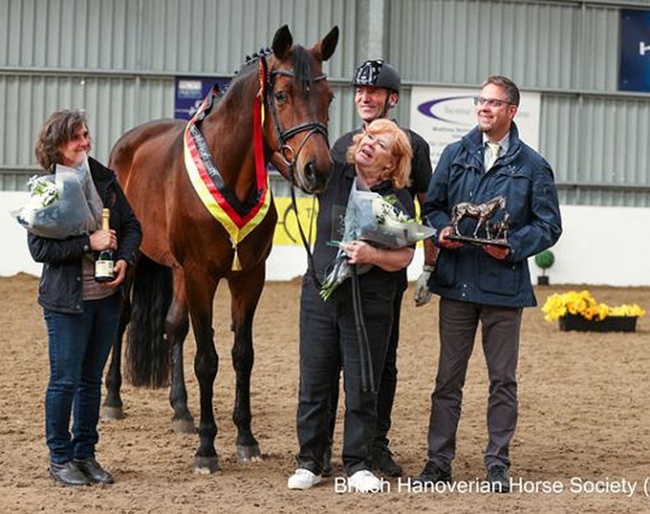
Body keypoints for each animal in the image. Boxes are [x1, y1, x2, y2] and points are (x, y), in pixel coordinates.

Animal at [102, 25, 340, 472]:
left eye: (329, 96)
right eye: (281, 96)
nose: (318, 170)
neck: (231, 174)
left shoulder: (248, 277)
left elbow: (242, 355)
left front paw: (246, 438)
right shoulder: (201, 276)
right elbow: (207, 359)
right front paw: (207, 448)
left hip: (177, 270)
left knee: (173, 326)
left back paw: (181, 411)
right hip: (136, 259)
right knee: (122, 318)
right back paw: (112, 400)